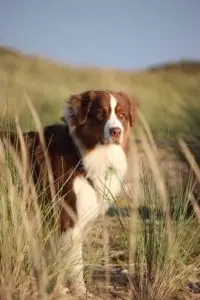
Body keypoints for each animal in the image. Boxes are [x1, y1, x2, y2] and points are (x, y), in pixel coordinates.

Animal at [0, 90, 139, 296]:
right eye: (100, 114)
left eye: (121, 114)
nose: (116, 132)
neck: (82, 153)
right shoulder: (66, 217)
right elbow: (74, 263)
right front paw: (77, 291)